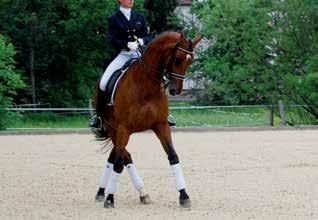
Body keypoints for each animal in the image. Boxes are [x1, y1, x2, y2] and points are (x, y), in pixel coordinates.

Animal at [92, 31, 201, 208]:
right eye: (177, 59)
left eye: (190, 61)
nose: (175, 90)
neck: (145, 85)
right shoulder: (124, 128)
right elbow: (120, 162)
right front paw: (110, 199)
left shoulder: (161, 125)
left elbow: (173, 156)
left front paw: (184, 195)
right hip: (112, 127)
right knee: (123, 157)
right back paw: (112, 193)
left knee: (115, 155)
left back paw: (112, 192)